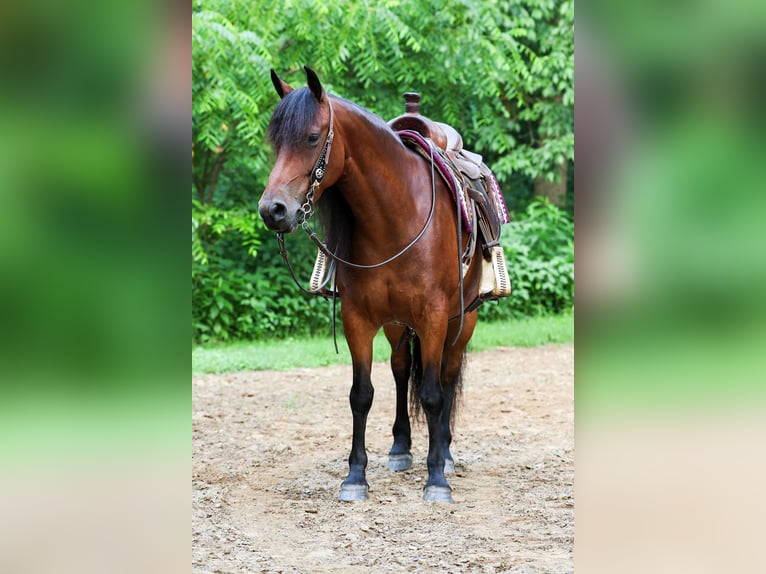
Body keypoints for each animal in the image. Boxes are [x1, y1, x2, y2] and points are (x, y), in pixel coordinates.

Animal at [259, 66, 489, 503]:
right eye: (275, 141)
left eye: (311, 137)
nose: (272, 210)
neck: (394, 215)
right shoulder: (358, 318)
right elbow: (361, 395)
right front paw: (355, 477)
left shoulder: (435, 316)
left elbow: (433, 394)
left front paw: (437, 478)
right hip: (397, 324)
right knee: (400, 371)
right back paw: (400, 448)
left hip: (462, 319)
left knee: (447, 376)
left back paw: (446, 452)